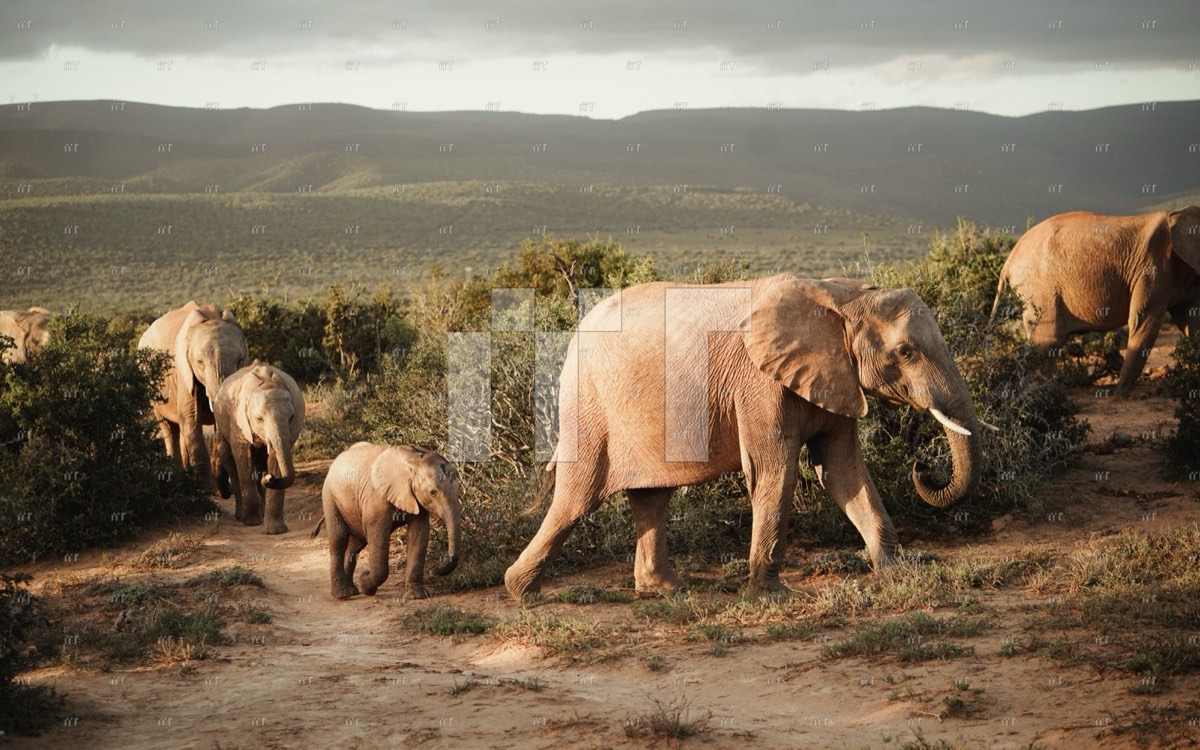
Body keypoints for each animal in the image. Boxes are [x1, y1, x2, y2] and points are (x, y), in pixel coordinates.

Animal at [138, 301, 249, 487]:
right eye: (200, 363)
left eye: (240, 361)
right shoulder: (184, 374)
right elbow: (191, 418)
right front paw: (205, 489)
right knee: (170, 429)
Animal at [212, 362, 305, 534]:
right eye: (259, 419)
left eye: (291, 418)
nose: (269, 478)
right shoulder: (238, 421)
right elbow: (243, 457)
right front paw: (251, 522)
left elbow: (275, 458)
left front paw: (276, 531)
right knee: (231, 461)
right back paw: (241, 515)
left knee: (260, 462)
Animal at [314, 442, 461, 600]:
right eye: (433, 493)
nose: (435, 570)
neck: (414, 461)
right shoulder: (377, 498)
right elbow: (378, 538)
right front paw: (365, 583)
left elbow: (419, 535)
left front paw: (417, 596)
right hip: (330, 497)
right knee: (339, 539)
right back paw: (343, 594)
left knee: (356, 543)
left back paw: (352, 590)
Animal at [505, 274, 989, 600]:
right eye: (905, 352)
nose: (923, 467)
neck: (843, 295)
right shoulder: (759, 383)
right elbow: (774, 472)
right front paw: (770, 596)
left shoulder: (835, 376)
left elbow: (843, 472)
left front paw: (897, 574)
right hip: (587, 405)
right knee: (577, 498)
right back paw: (521, 591)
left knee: (651, 495)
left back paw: (666, 589)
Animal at [991, 207, 1200, 396]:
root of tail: (1008, 262)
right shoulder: (1151, 270)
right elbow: (1143, 321)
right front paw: (1119, 398)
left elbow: (1191, 321)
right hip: (1039, 290)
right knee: (1048, 343)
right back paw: (1048, 395)